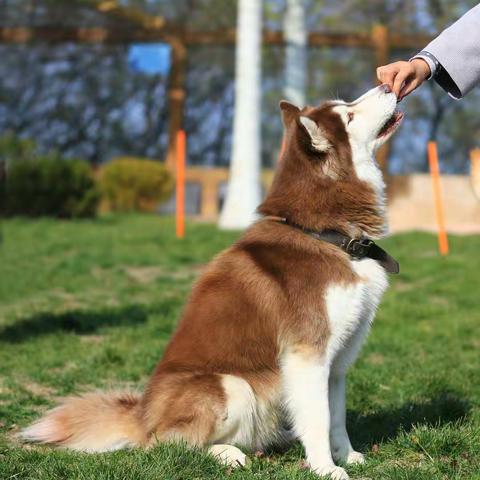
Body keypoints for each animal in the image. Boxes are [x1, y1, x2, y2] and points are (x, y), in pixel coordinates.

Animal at [23, 86, 404, 480]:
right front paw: (326, 468)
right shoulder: (306, 355)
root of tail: (142, 416)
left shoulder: (338, 358)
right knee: (167, 443)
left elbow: (336, 417)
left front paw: (347, 456)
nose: (388, 85)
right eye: (348, 115)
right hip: (231, 385)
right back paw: (227, 453)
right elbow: (318, 418)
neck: (327, 234)